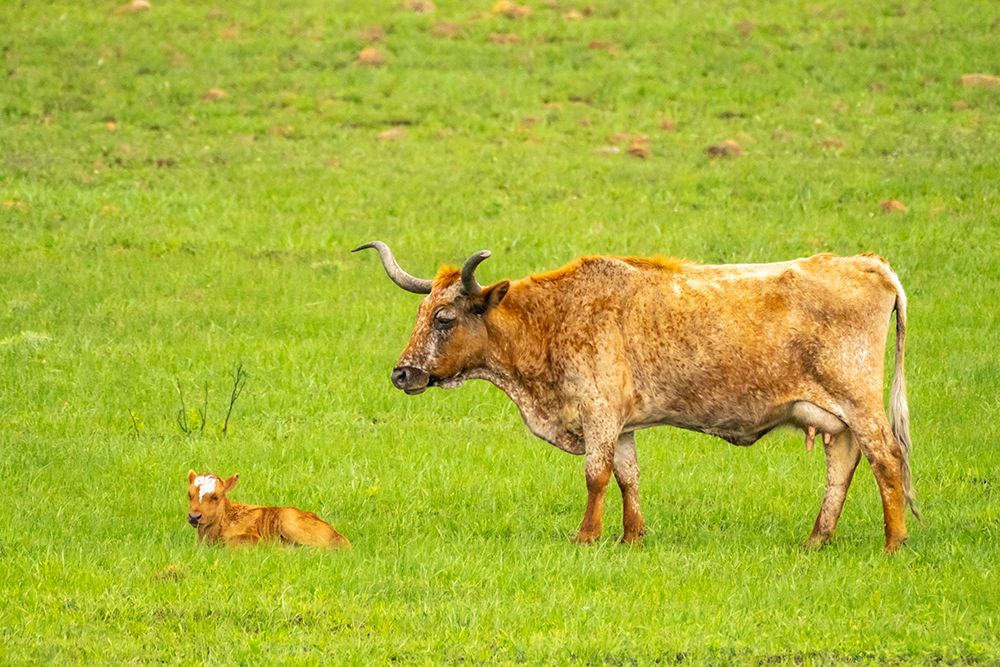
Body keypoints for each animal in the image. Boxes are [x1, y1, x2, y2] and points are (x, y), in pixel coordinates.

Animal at [354, 241, 919, 552]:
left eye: (445, 318)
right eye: (421, 312)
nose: (402, 374)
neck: (554, 318)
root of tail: (870, 264)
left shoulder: (599, 413)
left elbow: (596, 474)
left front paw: (586, 536)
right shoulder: (622, 424)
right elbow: (628, 475)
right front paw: (632, 536)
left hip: (860, 403)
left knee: (887, 460)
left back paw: (893, 543)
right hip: (834, 417)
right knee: (843, 467)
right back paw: (816, 539)